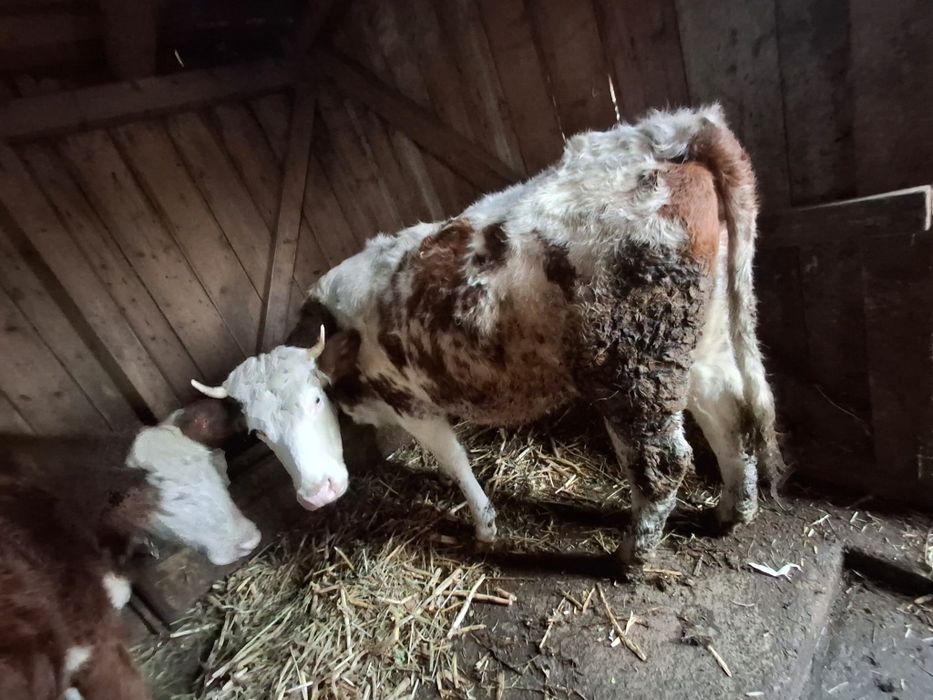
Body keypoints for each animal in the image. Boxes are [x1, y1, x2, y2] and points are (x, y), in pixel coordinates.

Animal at [190, 105, 785, 572]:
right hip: (697, 342)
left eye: (315, 400)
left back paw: (630, 557)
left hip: (630, 366)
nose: (319, 494)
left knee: (661, 463)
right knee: (728, 416)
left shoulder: (411, 401)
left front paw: (484, 529)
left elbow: (453, 461)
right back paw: (732, 511)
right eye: (258, 433)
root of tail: (665, 137)